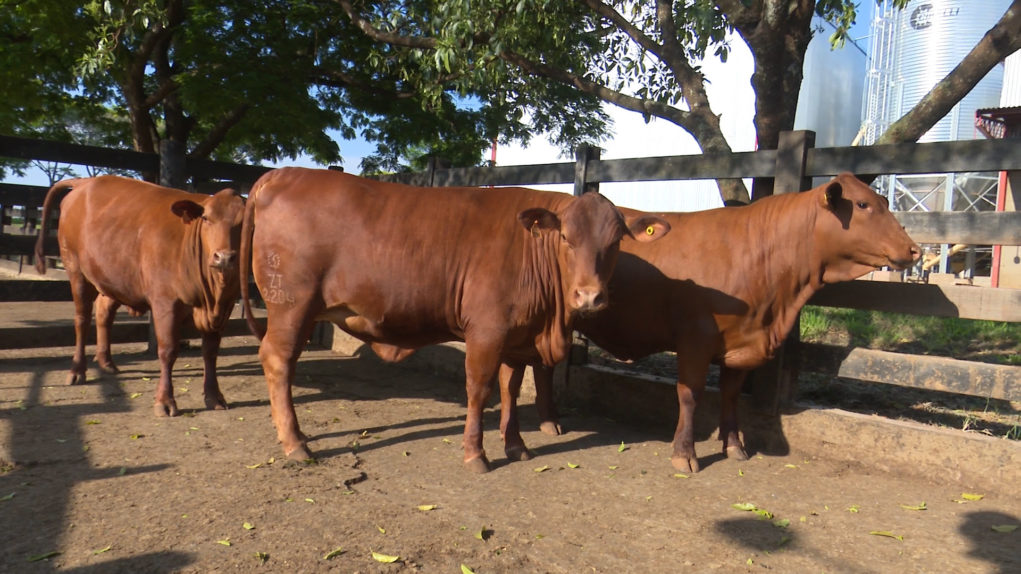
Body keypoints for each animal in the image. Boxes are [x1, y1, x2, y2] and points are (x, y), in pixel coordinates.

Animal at [34, 174, 246, 414]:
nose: (224, 257)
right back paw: (77, 371)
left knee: (103, 313)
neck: (212, 295)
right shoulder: (165, 302)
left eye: (243, 223)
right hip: (75, 269)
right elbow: (168, 350)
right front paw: (165, 401)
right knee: (82, 319)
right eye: (207, 219)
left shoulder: (223, 307)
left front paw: (214, 396)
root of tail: (85, 182)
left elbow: (210, 352)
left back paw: (106, 362)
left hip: (113, 276)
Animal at [237, 165, 669, 469]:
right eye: (566, 237)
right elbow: (479, 389)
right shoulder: (487, 332)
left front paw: (516, 445)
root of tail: (281, 174)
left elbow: (511, 389)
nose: (590, 295)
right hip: (292, 305)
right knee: (278, 359)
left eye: (615, 241)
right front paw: (476, 454)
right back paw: (295, 442)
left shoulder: (516, 339)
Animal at [522, 171, 922, 471]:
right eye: (863, 205)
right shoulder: (696, 338)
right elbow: (690, 394)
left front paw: (734, 445)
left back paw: (549, 421)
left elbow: (730, 395)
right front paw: (685, 453)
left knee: (542, 365)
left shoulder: (742, 343)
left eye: (884, 202)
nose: (914, 249)